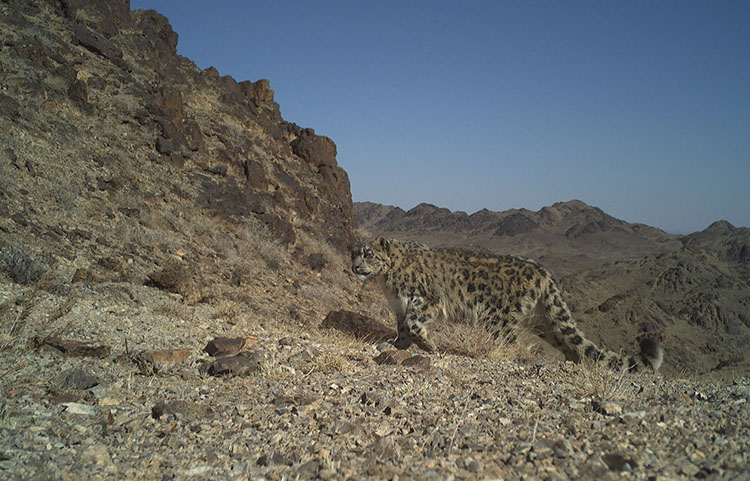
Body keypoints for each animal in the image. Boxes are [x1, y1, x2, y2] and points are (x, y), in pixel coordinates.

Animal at [352, 237, 663, 373]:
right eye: (354, 252)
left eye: (368, 254)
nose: (355, 267)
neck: (387, 281)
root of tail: (543, 271)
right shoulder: (399, 306)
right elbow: (403, 327)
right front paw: (397, 346)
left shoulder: (426, 300)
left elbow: (414, 323)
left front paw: (430, 346)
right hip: (543, 321)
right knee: (566, 340)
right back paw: (576, 362)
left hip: (497, 318)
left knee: (512, 343)